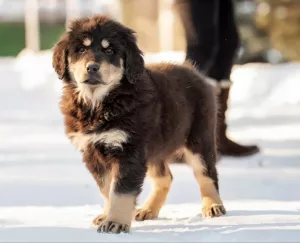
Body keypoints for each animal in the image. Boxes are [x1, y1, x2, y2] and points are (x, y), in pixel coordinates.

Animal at [52, 13, 225, 234]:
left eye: (109, 50)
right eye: (81, 49)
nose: (91, 67)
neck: (99, 103)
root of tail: (195, 73)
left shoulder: (129, 149)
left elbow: (121, 190)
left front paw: (115, 222)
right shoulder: (93, 152)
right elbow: (107, 188)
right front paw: (107, 216)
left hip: (199, 138)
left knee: (206, 173)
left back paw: (213, 205)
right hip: (154, 148)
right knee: (165, 178)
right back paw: (148, 210)